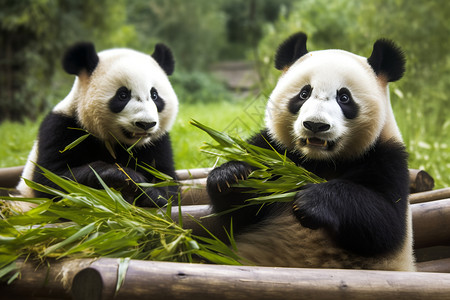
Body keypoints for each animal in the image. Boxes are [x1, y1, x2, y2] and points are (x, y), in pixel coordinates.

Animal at [17, 41, 179, 206]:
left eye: (154, 95)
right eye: (123, 95)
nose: (145, 124)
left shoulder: (158, 142)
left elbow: (167, 181)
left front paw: (147, 191)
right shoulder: (61, 129)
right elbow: (51, 179)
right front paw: (125, 177)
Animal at [207, 32, 414, 272]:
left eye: (344, 98)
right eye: (304, 93)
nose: (315, 124)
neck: (319, 161)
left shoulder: (387, 156)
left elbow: (385, 221)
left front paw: (311, 202)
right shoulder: (274, 149)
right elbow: (237, 214)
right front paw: (230, 176)